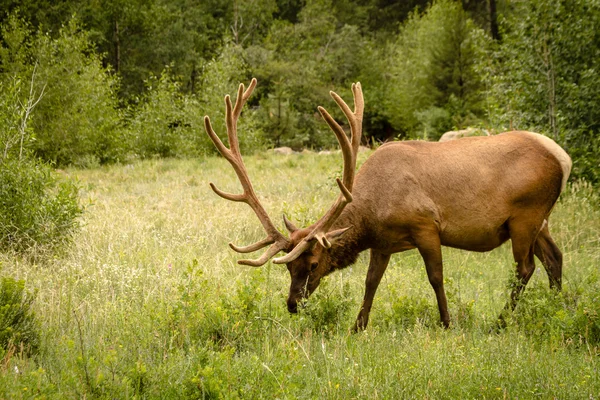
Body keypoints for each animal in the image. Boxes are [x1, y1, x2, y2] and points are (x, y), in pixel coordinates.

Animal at [205, 79, 572, 332]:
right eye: (288, 267)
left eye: (312, 264)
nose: (293, 304)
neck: (371, 214)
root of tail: (564, 159)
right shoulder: (382, 243)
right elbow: (371, 282)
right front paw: (357, 327)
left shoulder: (426, 226)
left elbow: (435, 277)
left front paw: (446, 323)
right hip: (540, 221)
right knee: (554, 258)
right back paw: (558, 310)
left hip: (525, 215)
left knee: (525, 268)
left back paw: (500, 322)